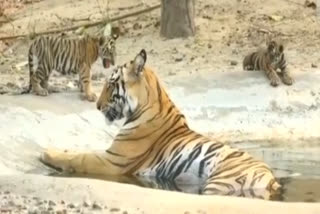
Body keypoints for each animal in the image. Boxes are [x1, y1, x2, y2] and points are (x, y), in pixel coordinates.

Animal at [40, 49, 280, 198]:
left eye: (110, 84)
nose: (97, 106)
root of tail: (271, 178)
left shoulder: (113, 161)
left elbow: (79, 157)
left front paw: (46, 154)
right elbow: (75, 151)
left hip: (220, 183)